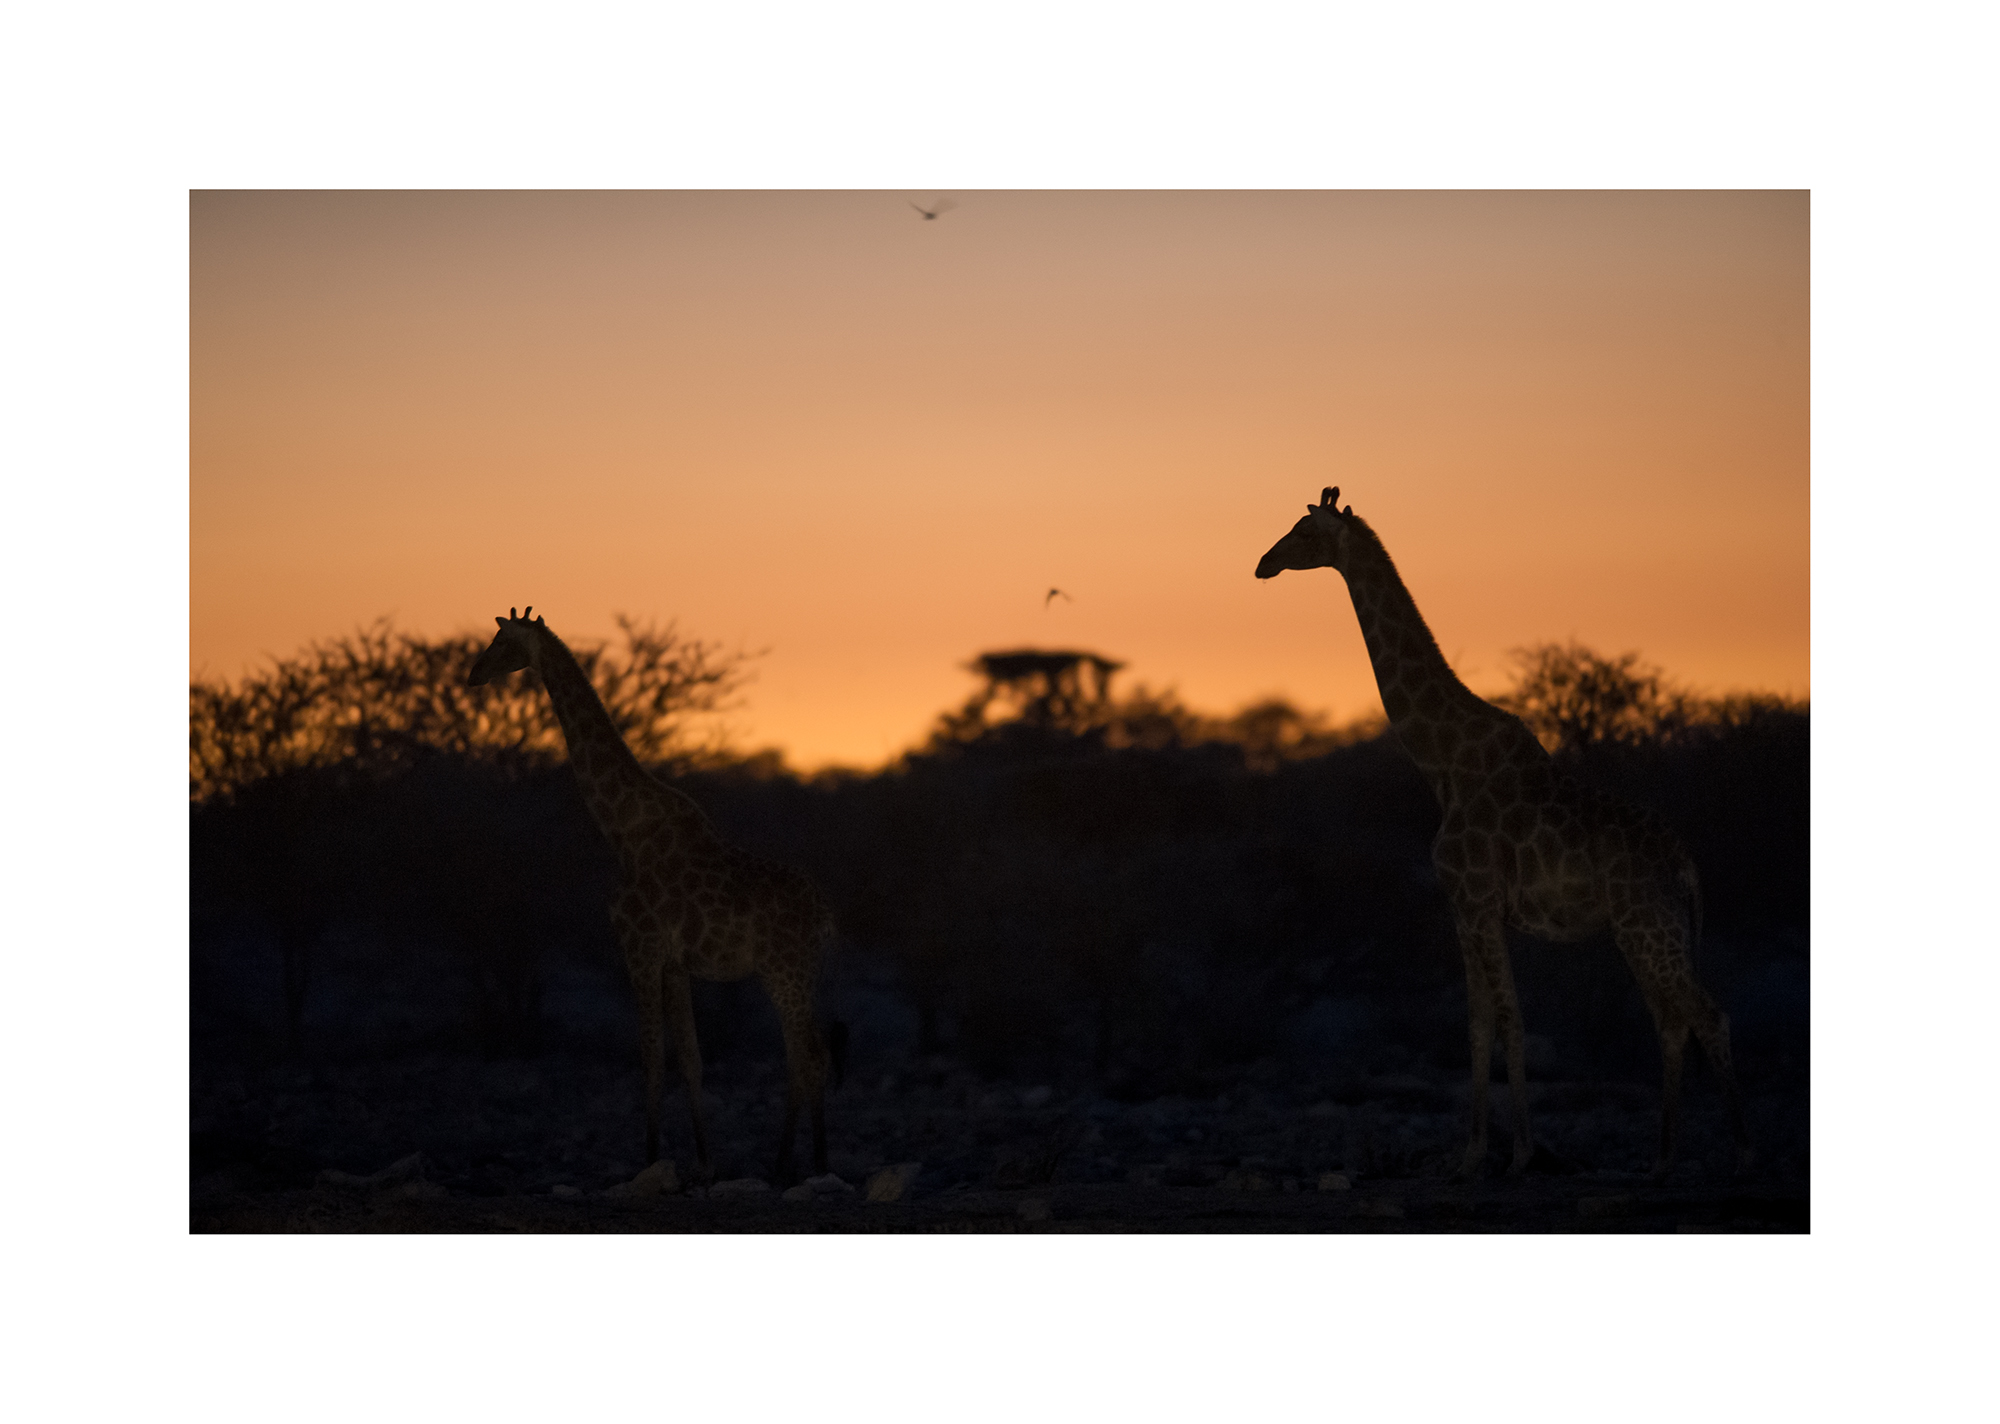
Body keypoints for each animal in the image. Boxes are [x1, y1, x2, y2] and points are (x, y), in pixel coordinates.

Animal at [467, 607, 835, 1183]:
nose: (473, 675)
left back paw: (809, 1165)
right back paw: (785, 1165)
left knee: (811, 1056)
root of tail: (824, 914)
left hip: (786, 970)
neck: (621, 829)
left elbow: (651, 1058)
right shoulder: (675, 963)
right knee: (803, 1056)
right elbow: (690, 1059)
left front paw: (650, 1160)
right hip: (798, 971)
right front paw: (705, 1163)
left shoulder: (638, 949)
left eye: (502, 642)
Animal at [1256, 490, 1751, 1180]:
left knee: (1708, 1013)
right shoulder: (1468, 907)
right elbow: (1481, 1023)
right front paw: (1473, 1152)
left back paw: (1740, 1152)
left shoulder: (1475, 900)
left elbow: (1505, 1019)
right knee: (1672, 1021)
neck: (1441, 761)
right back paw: (1663, 1157)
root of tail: (1686, 863)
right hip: (1650, 928)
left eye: (1303, 531)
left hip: (1646, 926)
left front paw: (1514, 1152)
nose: (1263, 565)